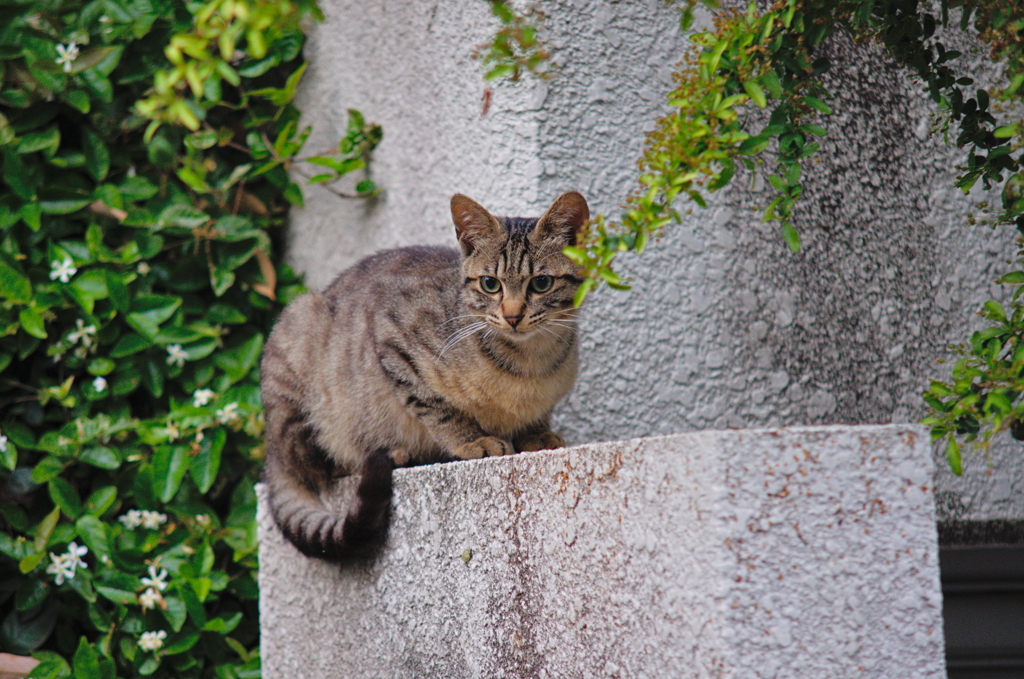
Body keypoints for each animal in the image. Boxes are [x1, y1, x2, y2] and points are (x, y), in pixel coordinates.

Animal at [260, 191, 589, 561]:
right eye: (490, 284)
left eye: (541, 283)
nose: (513, 316)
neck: (528, 362)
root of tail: (272, 456)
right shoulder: (393, 341)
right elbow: (438, 408)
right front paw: (471, 440)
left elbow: (536, 415)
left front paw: (536, 434)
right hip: (299, 339)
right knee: (316, 467)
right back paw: (388, 453)